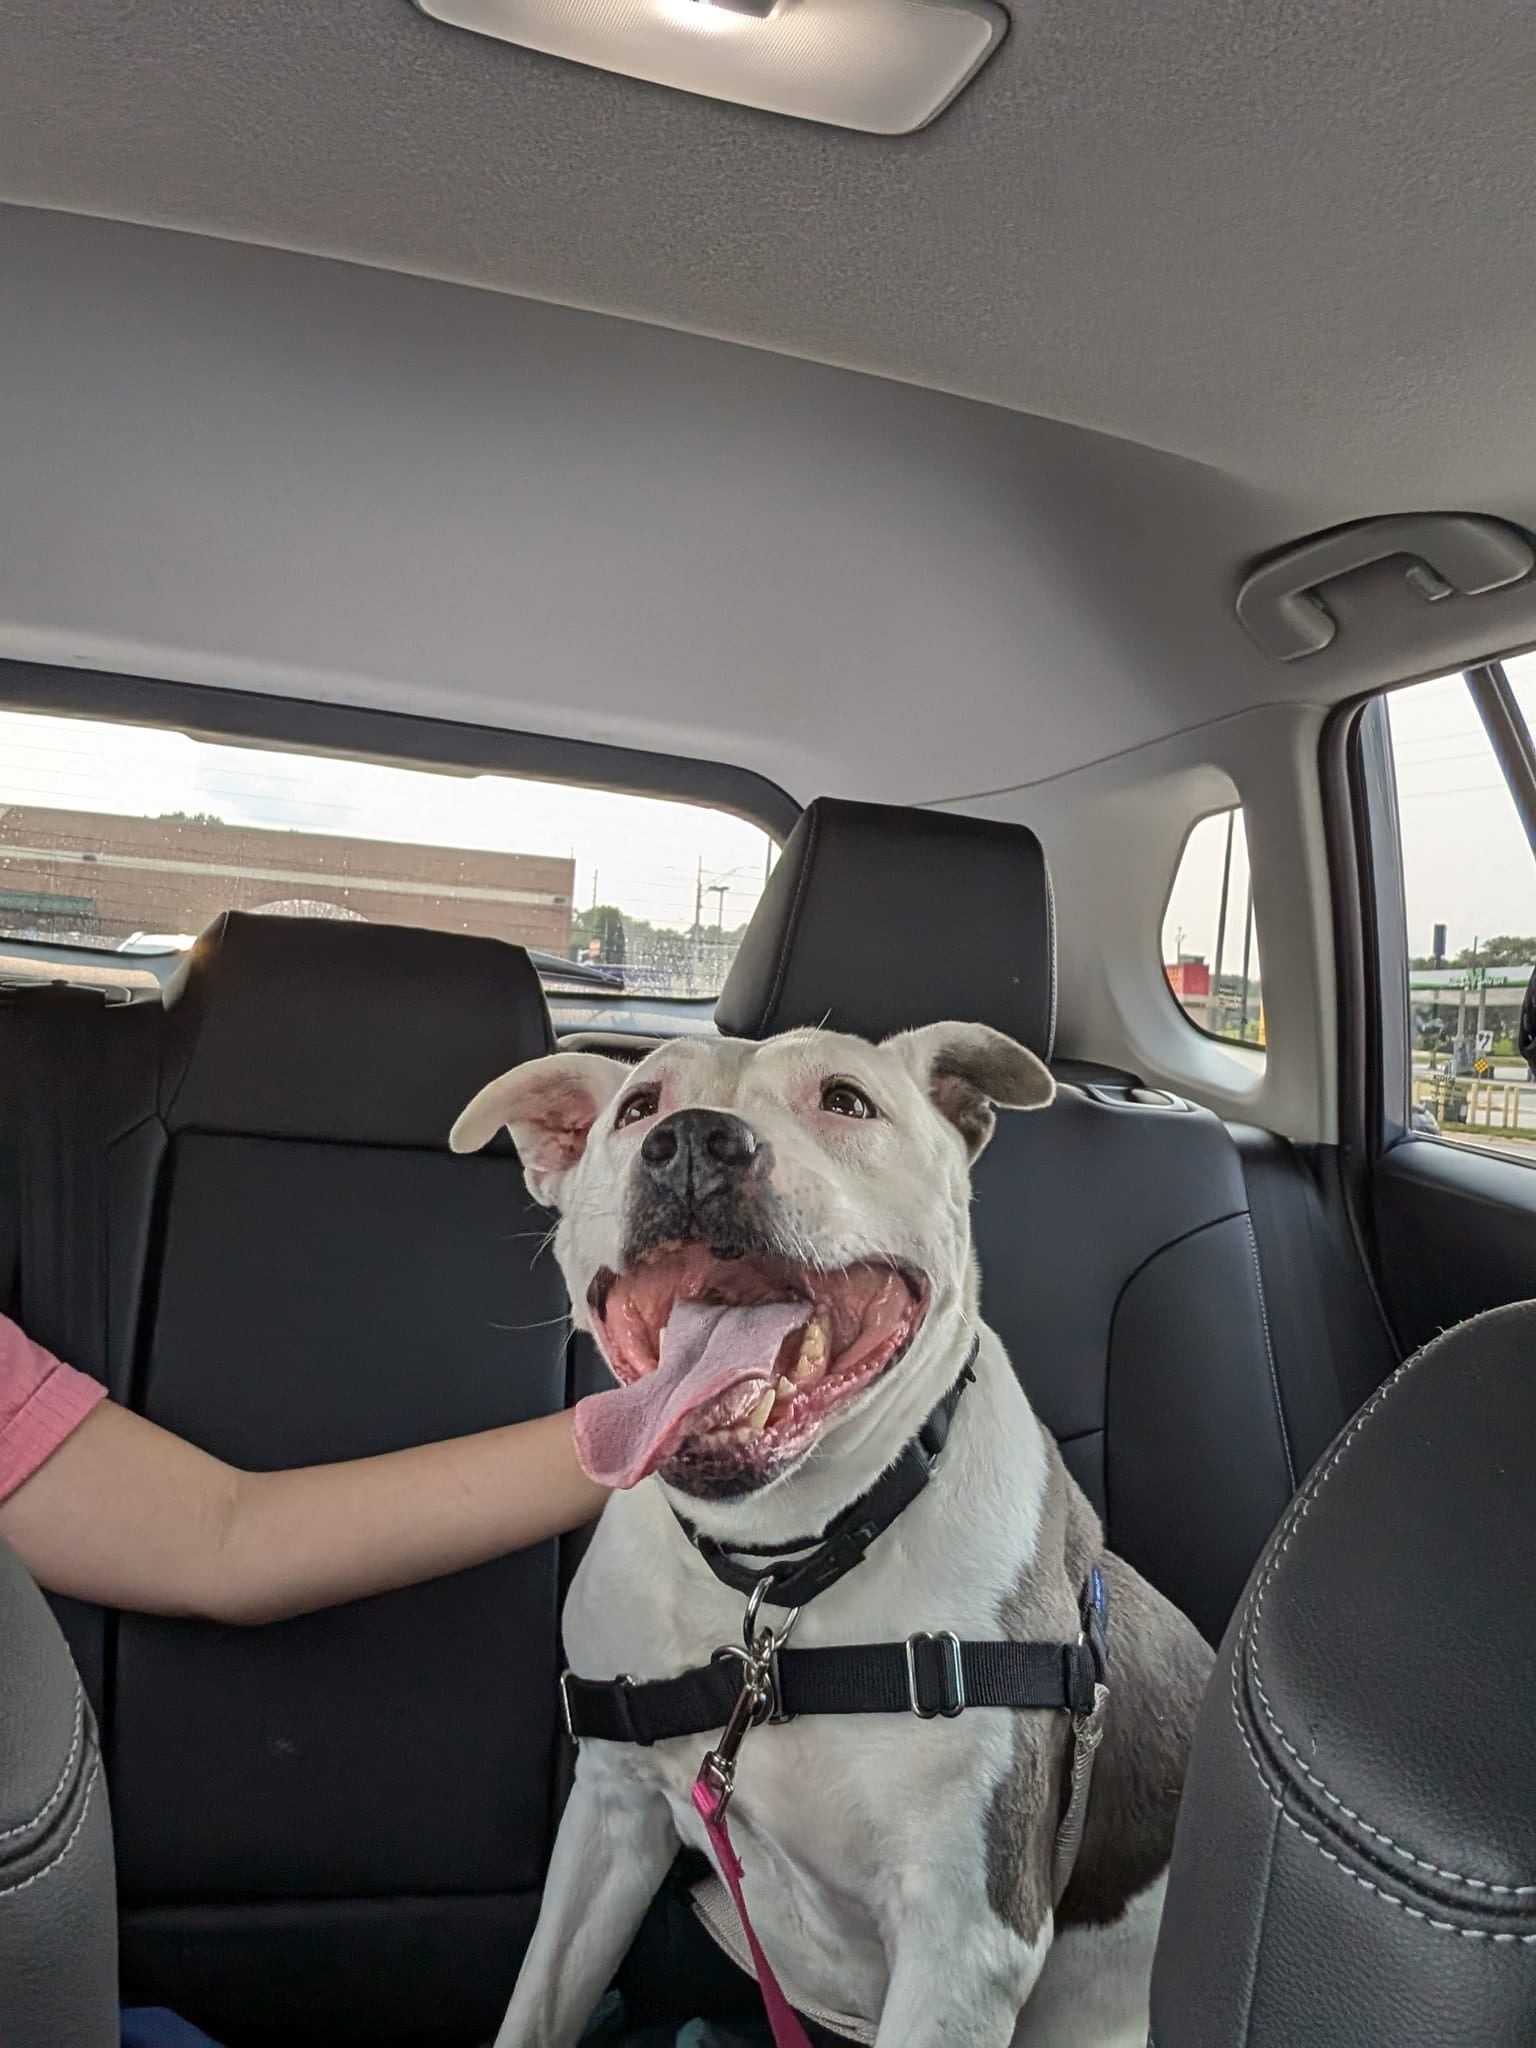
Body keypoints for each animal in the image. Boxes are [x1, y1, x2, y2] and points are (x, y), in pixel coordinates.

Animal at [450, 1024, 1220, 2048]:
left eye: (848, 1100)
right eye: (638, 1107)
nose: (694, 1143)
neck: (776, 1570)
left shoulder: (966, 1941)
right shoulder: (611, 1811)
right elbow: (537, 2005)